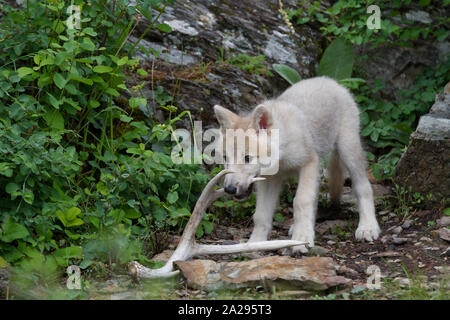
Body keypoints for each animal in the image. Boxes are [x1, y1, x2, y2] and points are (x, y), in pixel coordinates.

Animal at [214, 76, 380, 254]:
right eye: (225, 157)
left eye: (247, 158)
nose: (229, 189)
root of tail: (331, 81)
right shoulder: (270, 179)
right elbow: (260, 215)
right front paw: (255, 243)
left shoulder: (309, 163)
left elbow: (301, 200)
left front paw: (301, 241)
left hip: (348, 151)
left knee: (363, 187)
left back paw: (368, 227)